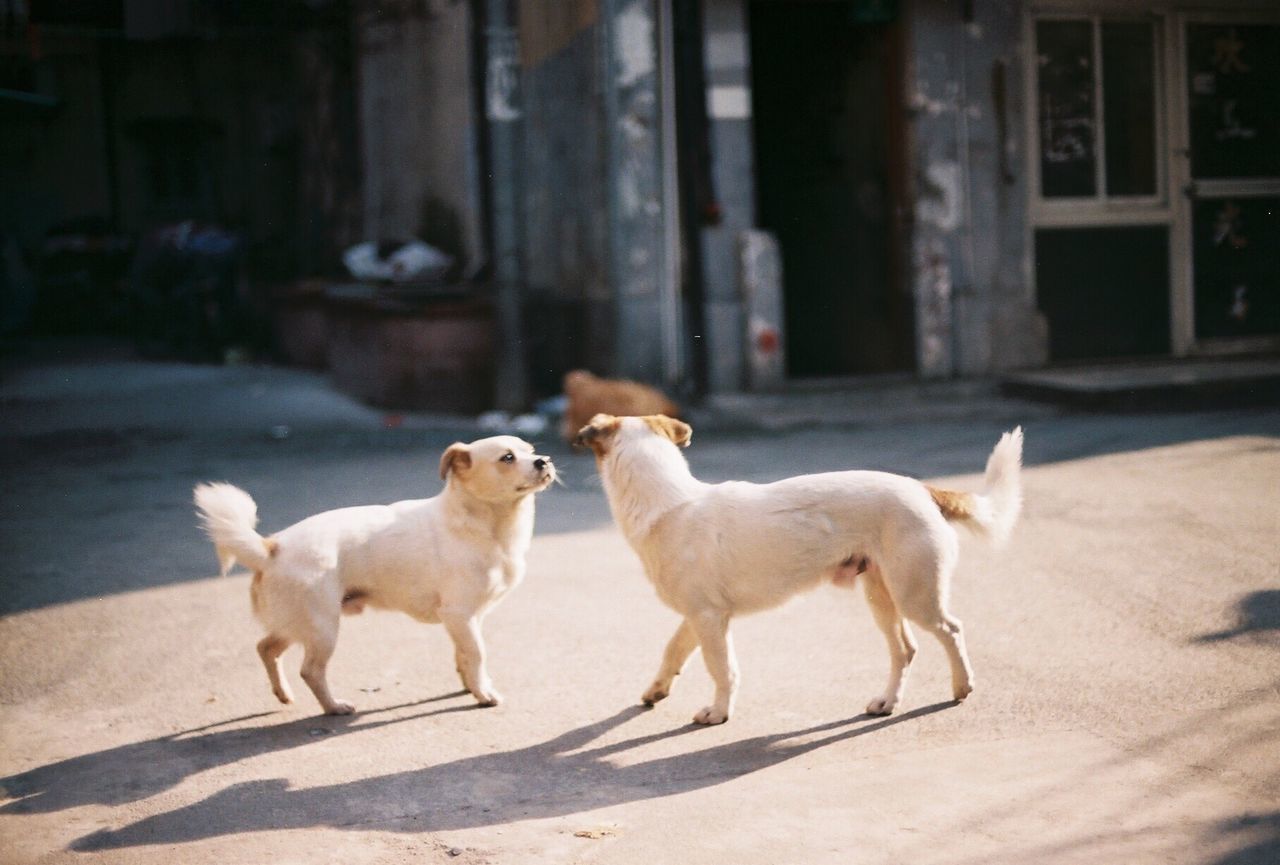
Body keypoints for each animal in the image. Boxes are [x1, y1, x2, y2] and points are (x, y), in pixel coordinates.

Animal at [192, 435, 552, 711]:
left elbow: (464, 655)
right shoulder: (460, 614)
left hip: (296, 624)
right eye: (507, 457)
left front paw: (472, 685)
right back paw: (333, 707)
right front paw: (483, 694)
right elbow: (477, 653)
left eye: (531, 449)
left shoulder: (467, 619)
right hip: (323, 629)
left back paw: (284, 694)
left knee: (266, 648)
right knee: (310, 671)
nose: (544, 460)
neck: (482, 524)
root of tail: (271, 547)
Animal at [576, 414, 1024, 726]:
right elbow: (672, 651)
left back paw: (962, 686)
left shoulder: (709, 619)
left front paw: (718, 713)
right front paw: (656, 690)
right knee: (905, 649)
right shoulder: (698, 617)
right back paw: (887, 702)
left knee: (951, 630)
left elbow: (722, 670)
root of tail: (922, 489)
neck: (669, 502)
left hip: (916, 595)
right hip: (882, 596)